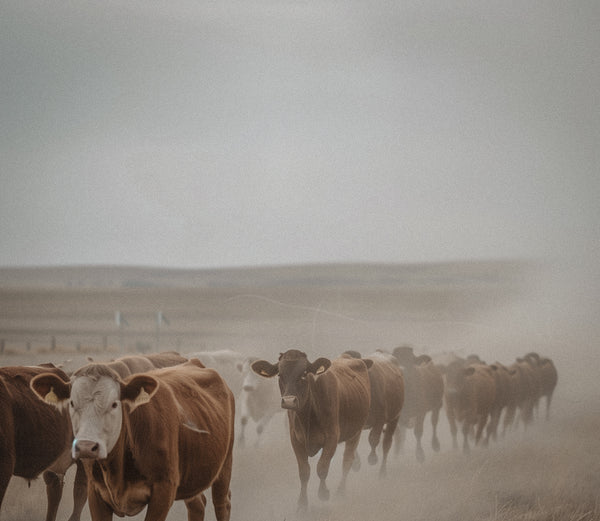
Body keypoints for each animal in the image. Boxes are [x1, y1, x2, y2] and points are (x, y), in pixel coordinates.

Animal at [31, 358, 234, 520]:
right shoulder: (95, 493)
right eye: (72, 403)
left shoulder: (164, 490)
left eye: (114, 404)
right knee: (198, 504)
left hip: (224, 467)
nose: (87, 446)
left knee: (222, 504)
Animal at [251, 350, 372, 508]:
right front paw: (302, 504)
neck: (307, 416)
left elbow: (322, 467)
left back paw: (340, 492)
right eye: (280, 375)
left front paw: (323, 493)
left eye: (304, 373)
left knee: (347, 461)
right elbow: (304, 472)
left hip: (356, 432)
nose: (289, 401)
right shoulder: (295, 440)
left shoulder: (332, 437)